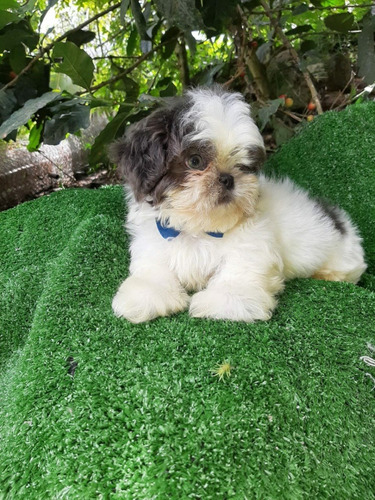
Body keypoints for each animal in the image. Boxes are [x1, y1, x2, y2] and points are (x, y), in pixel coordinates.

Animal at [109, 87, 368, 322]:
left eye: (243, 165)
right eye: (195, 161)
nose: (227, 178)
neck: (198, 229)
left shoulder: (253, 245)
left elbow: (238, 273)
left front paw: (225, 302)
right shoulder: (153, 243)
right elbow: (155, 271)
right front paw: (146, 295)